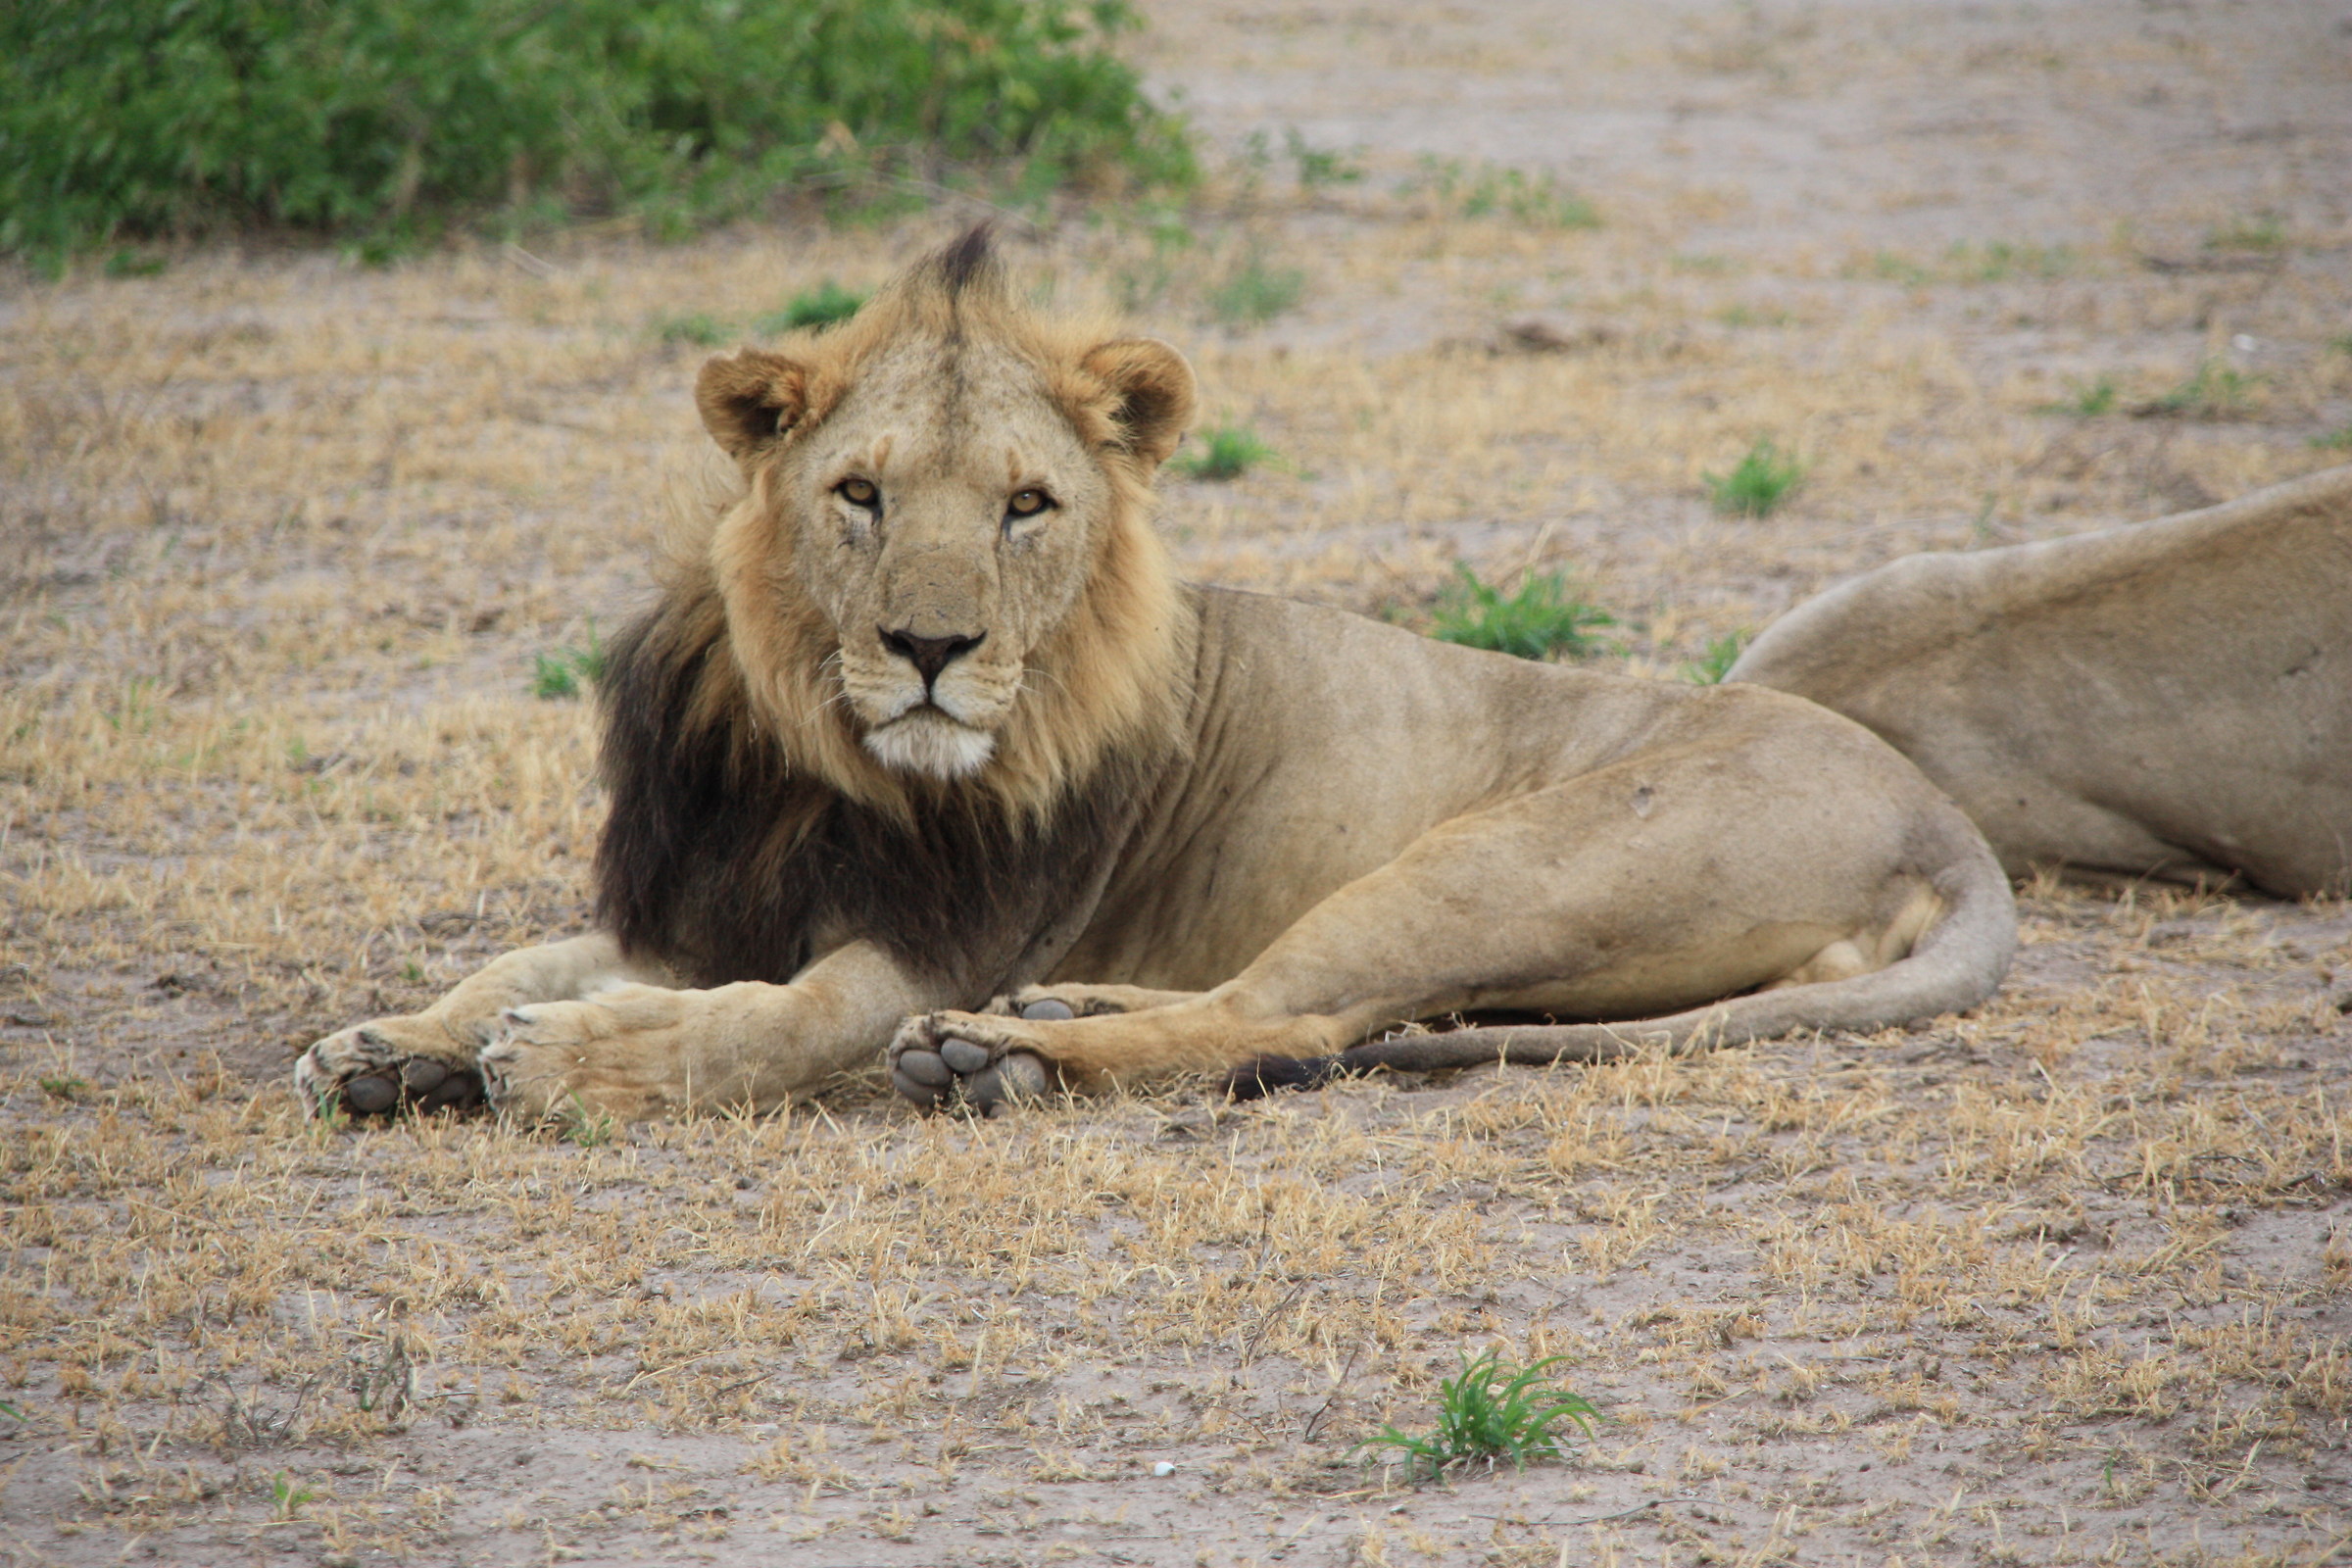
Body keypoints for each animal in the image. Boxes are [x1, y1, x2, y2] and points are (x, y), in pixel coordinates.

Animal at [295, 228, 2015, 1124]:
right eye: (859, 494)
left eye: (1024, 506)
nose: (932, 651)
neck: (815, 746)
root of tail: (1949, 823)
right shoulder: (697, 900)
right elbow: (517, 962)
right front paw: (388, 1044)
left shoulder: (933, 936)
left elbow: (775, 1024)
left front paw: (577, 1059)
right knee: (1278, 1008)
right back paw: (1053, 1010)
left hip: (1497, 859)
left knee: (1289, 1017)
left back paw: (1002, 1051)